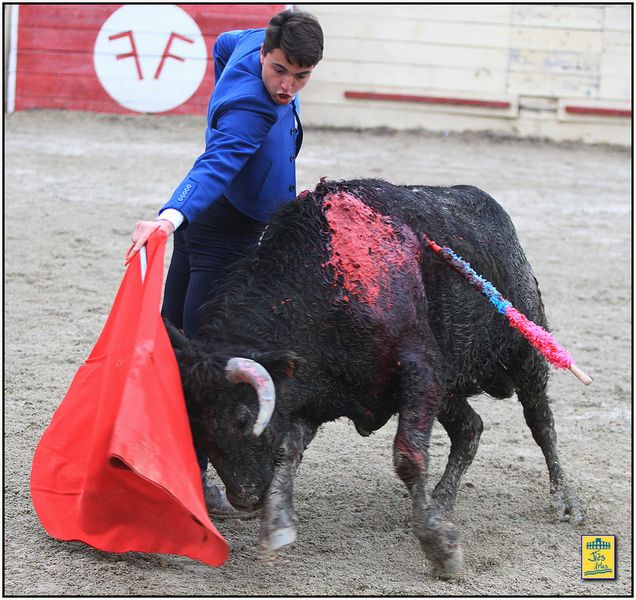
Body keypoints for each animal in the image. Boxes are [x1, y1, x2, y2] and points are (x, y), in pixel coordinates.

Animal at [166, 177, 584, 576]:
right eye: (193, 426)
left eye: (242, 418)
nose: (245, 497)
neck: (326, 282)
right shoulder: (315, 392)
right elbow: (288, 450)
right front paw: (277, 525)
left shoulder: (421, 368)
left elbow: (408, 456)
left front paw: (440, 550)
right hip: (449, 390)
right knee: (470, 428)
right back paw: (441, 501)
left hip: (526, 352)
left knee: (540, 422)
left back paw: (564, 501)